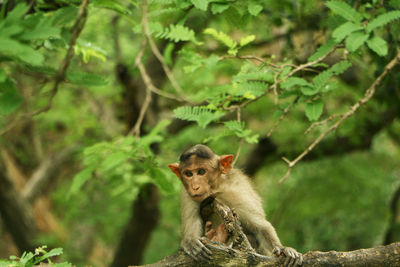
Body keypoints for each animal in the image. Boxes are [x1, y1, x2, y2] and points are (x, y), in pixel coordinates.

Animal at [169, 146, 304, 266]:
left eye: (201, 171)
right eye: (188, 174)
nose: (195, 186)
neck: (216, 189)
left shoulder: (238, 192)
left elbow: (260, 226)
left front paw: (282, 249)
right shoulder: (187, 196)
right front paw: (190, 242)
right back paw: (216, 237)